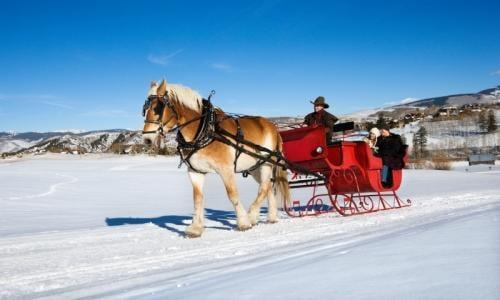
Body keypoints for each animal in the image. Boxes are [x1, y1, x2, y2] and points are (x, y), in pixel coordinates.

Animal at [142, 80, 290, 239]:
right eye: (144, 109)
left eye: (158, 108)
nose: (147, 139)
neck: (205, 130)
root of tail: (273, 127)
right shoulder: (195, 172)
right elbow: (197, 199)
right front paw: (195, 228)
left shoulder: (226, 169)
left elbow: (232, 195)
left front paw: (243, 222)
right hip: (255, 167)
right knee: (268, 186)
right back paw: (271, 217)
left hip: (267, 163)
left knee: (263, 188)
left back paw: (251, 216)